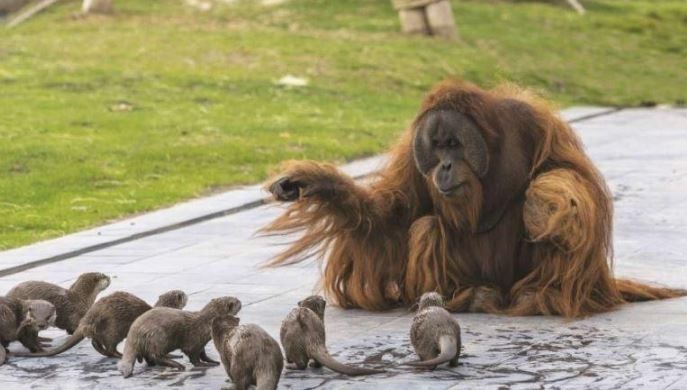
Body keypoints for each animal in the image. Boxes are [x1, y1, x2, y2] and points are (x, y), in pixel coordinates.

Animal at [15, 288, 187, 358]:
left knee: (97, 342)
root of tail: (88, 318)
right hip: (114, 327)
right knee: (109, 346)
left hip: (101, 329)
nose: (185, 294)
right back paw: (119, 355)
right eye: (183, 295)